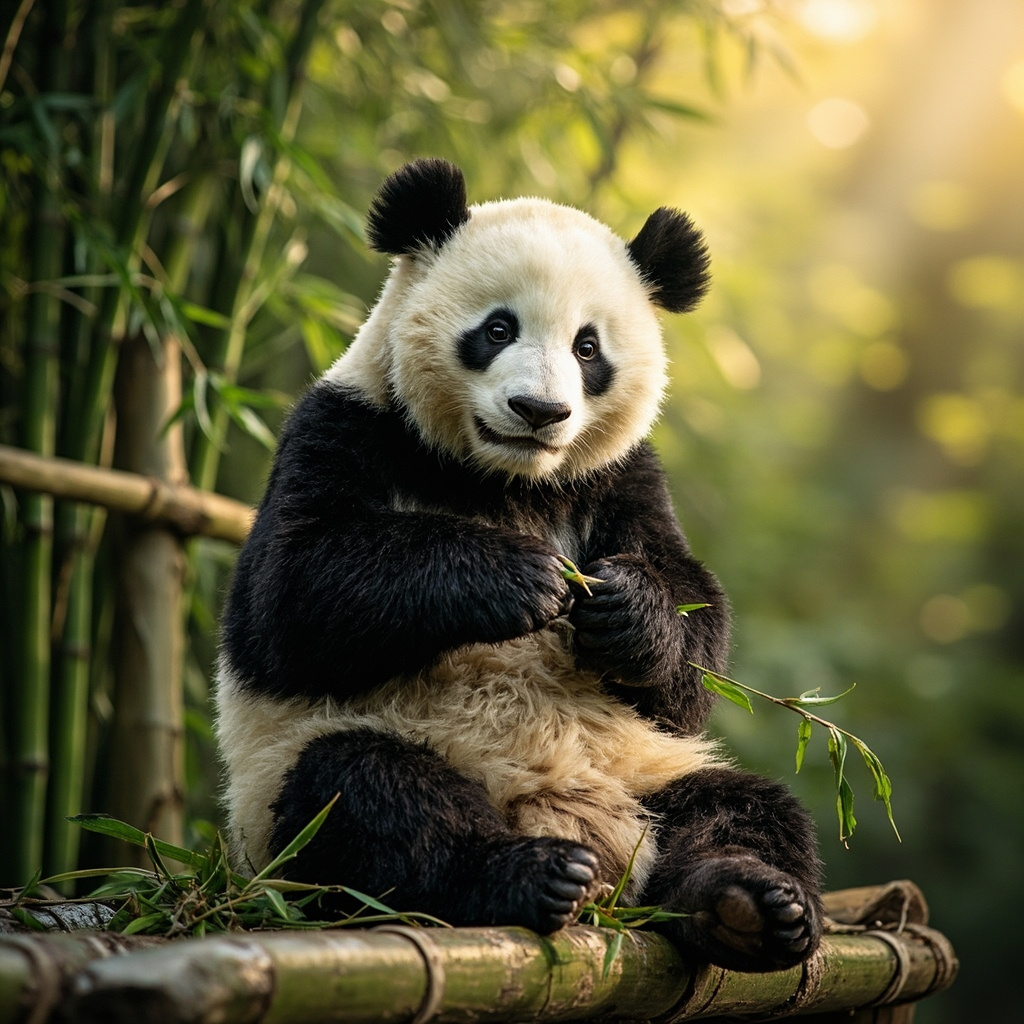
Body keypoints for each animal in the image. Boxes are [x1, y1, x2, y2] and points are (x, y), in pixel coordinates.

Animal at [214, 158, 824, 972]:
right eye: (497, 328)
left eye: (588, 348)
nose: (539, 411)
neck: (503, 479)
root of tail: (599, 852)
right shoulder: (341, 425)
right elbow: (291, 596)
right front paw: (518, 579)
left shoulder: (620, 478)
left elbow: (690, 653)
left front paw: (625, 609)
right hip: (284, 800)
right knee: (368, 799)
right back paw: (526, 876)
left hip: (648, 771)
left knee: (745, 808)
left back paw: (748, 906)